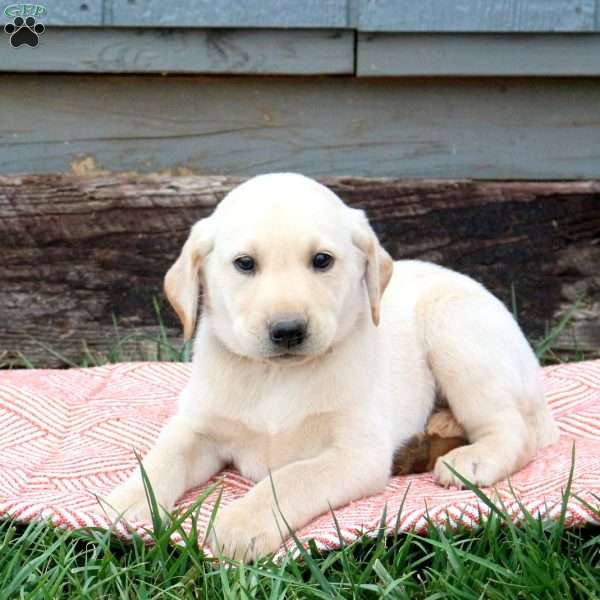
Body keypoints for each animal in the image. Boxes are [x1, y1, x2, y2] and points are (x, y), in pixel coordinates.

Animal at [105, 171, 560, 560]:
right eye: (245, 263)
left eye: (322, 260)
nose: (288, 330)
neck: (276, 376)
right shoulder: (198, 425)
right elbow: (163, 456)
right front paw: (128, 501)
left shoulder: (355, 454)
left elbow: (290, 479)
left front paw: (243, 522)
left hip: (455, 333)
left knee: (514, 429)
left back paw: (474, 458)